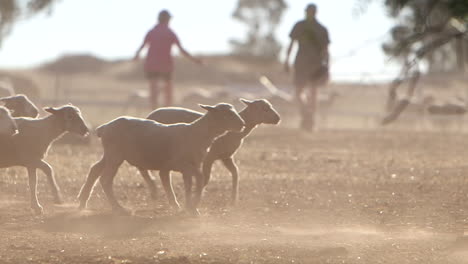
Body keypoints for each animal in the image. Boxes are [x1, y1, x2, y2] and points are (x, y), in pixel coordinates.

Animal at [77, 102, 245, 214]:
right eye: (226, 114)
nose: (242, 124)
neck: (196, 133)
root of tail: (104, 127)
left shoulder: (191, 166)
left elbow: (190, 184)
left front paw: (188, 206)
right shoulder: (183, 164)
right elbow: (199, 179)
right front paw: (192, 206)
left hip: (111, 154)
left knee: (95, 169)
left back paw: (83, 202)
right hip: (115, 155)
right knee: (105, 179)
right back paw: (119, 208)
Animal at [142, 99, 282, 204]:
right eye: (264, 108)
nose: (278, 118)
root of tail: (150, 115)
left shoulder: (226, 157)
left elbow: (235, 173)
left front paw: (233, 200)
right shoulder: (209, 157)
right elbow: (206, 178)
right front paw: (196, 197)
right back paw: (154, 190)